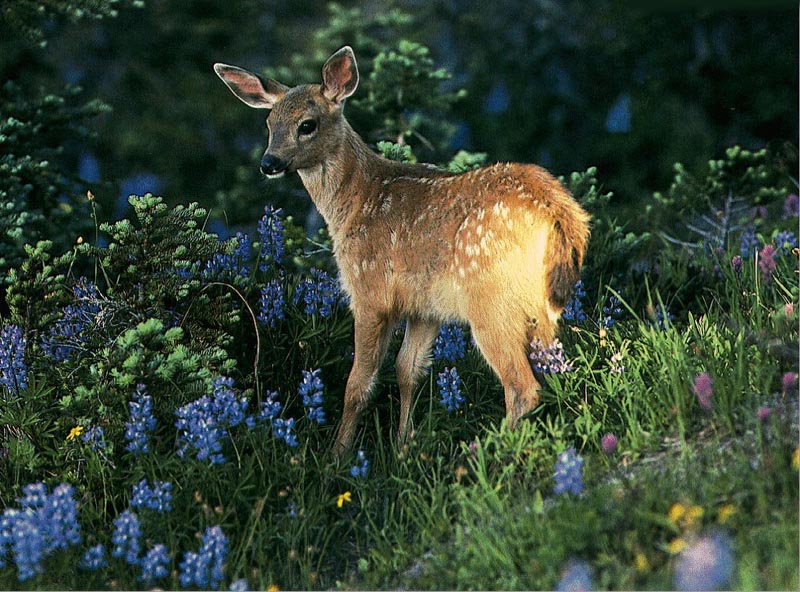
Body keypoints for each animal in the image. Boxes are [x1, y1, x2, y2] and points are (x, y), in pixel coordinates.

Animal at [216, 46, 592, 456]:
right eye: (269, 124)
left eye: (307, 125)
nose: (269, 163)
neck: (355, 202)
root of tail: (558, 210)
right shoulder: (424, 307)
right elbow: (407, 370)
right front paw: (402, 446)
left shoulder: (370, 293)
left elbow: (357, 383)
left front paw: (338, 454)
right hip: (541, 305)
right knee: (556, 370)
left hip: (491, 298)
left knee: (522, 386)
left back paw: (489, 451)